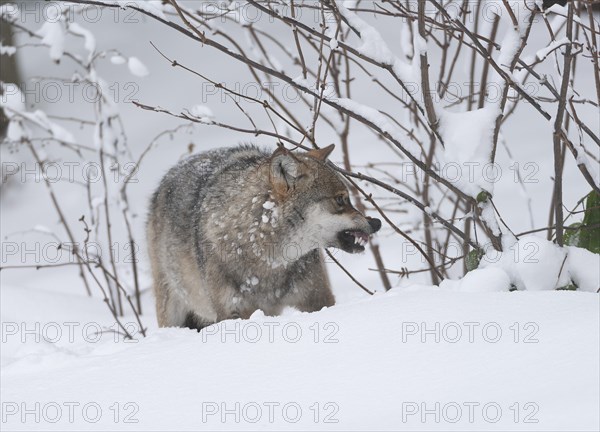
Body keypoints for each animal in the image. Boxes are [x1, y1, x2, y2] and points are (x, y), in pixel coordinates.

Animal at [146, 145, 380, 330]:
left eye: (347, 198)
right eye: (341, 200)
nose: (376, 222)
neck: (268, 260)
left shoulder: (318, 298)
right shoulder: (232, 312)